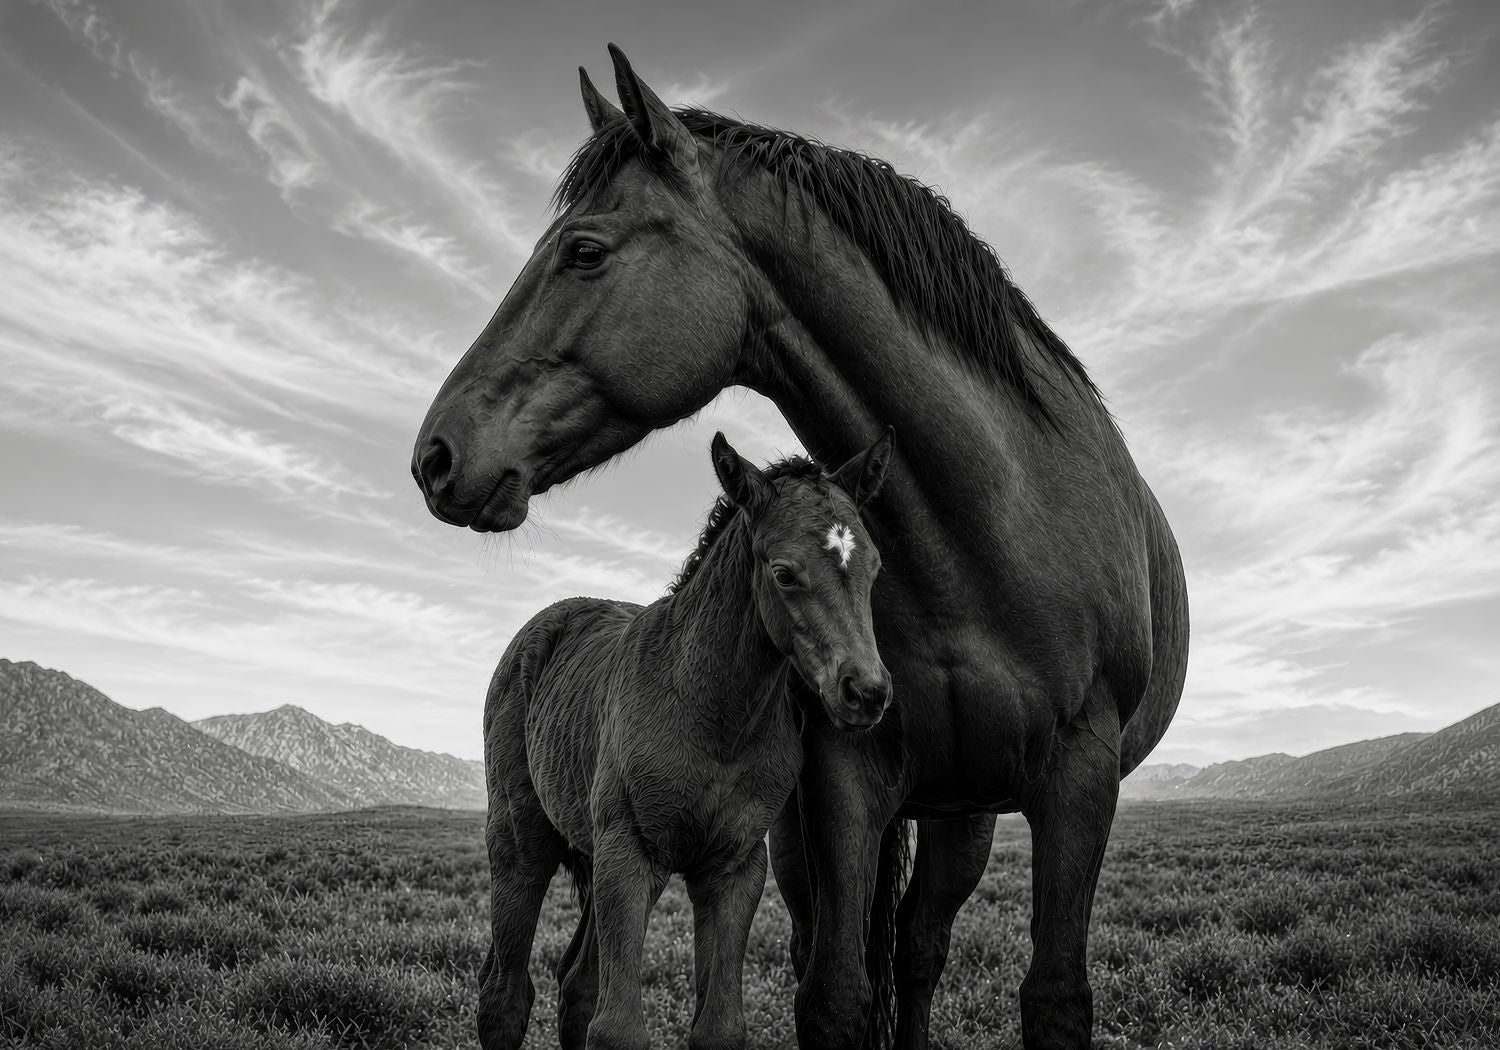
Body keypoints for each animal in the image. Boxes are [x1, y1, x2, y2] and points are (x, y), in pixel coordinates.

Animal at [477, 431, 895, 1050]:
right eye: (784, 573)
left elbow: (718, 1027)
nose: (866, 691)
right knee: (504, 996)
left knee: (576, 984)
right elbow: (618, 1030)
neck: (713, 718)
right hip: (521, 843)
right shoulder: (629, 858)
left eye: (875, 568)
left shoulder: (734, 870)